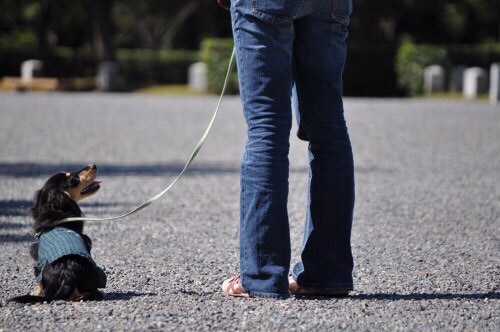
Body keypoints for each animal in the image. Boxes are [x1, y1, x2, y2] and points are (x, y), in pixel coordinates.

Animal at [9, 165, 106, 302]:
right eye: (74, 179)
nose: (93, 165)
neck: (55, 213)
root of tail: (68, 274)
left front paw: (35, 293)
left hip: (37, 268)